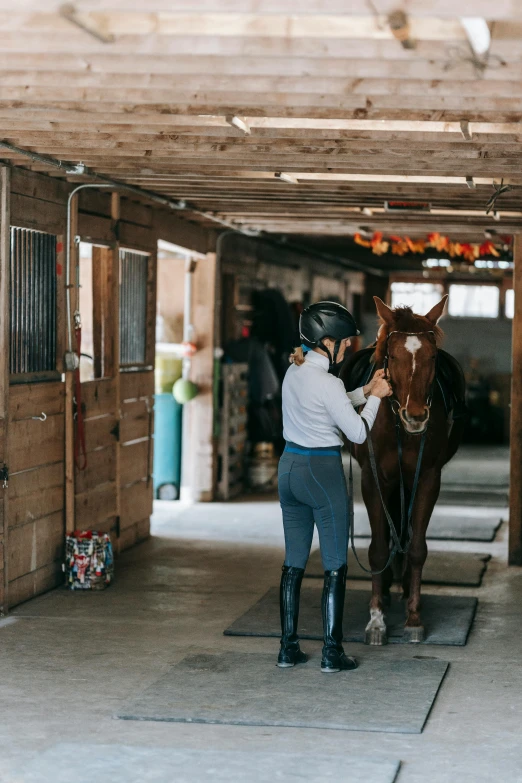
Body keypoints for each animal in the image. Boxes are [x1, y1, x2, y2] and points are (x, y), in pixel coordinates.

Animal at [340, 298, 466, 648]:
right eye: (392, 356)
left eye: (432, 356)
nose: (416, 416)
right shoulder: (372, 480)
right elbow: (378, 548)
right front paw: (376, 621)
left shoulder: (427, 478)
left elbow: (418, 547)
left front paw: (413, 618)